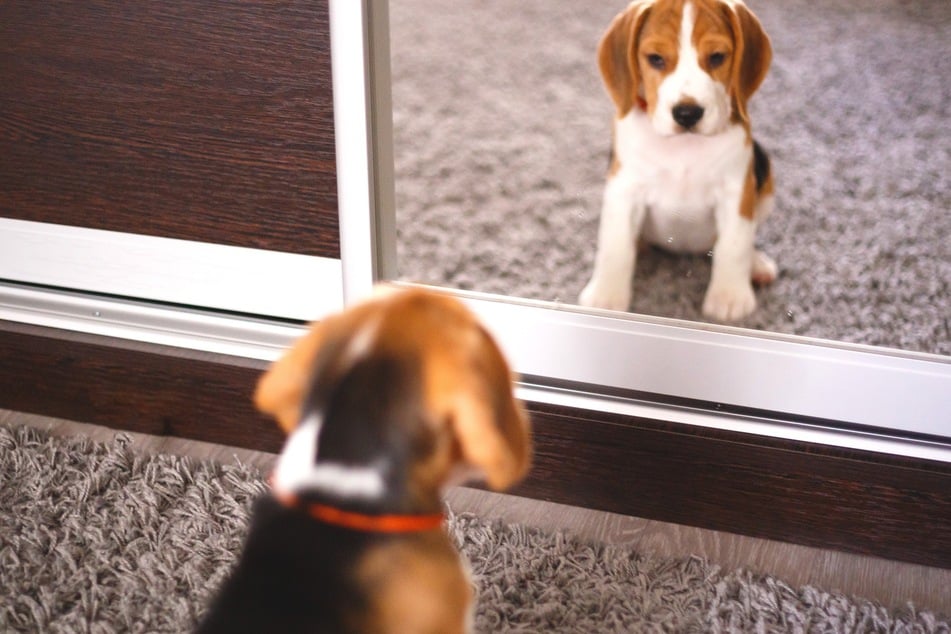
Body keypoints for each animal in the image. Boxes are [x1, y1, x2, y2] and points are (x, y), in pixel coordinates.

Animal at [580, 0, 772, 318]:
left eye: (717, 57)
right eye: (656, 59)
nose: (687, 113)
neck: (684, 146)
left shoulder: (736, 190)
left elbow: (734, 245)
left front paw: (729, 297)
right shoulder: (624, 189)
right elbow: (617, 245)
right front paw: (606, 298)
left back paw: (756, 265)